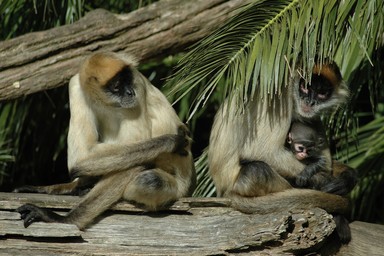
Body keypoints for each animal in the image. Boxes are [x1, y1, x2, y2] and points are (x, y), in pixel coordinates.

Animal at [15, 52, 195, 230]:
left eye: (127, 81)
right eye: (116, 86)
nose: (130, 93)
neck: (107, 103)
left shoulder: (137, 83)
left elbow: (134, 163)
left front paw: (61, 219)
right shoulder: (76, 87)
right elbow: (81, 157)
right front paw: (169, 141)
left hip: (179, 187)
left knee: (149, 180)